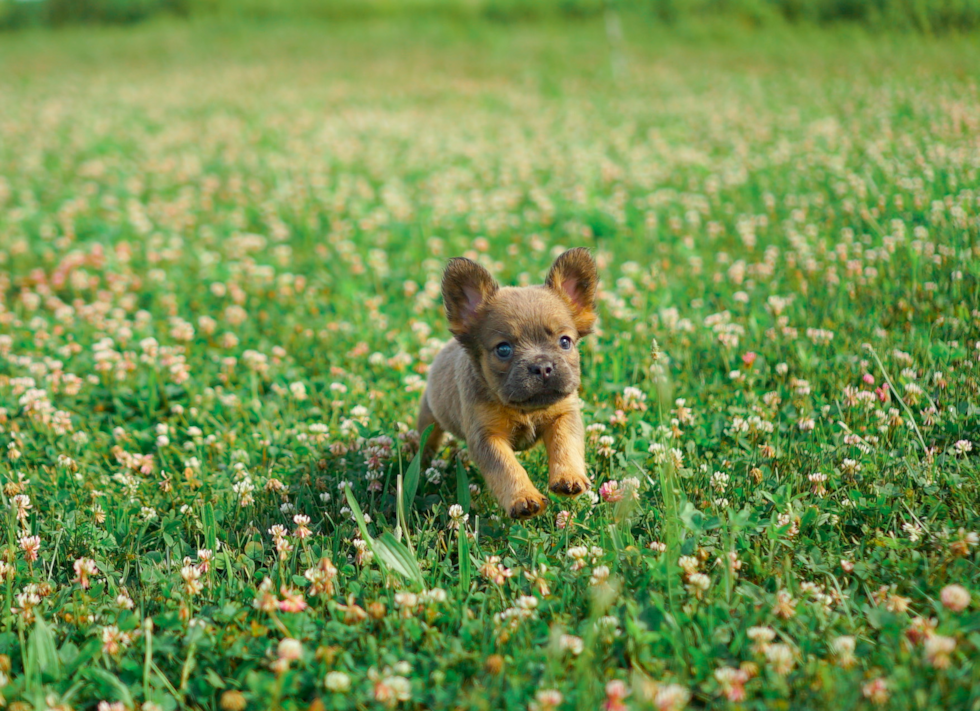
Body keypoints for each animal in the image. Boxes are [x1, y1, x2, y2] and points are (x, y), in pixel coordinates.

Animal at [416, 248, 596, 520]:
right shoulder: (487, 438)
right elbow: (507, 468)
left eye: (565, 342)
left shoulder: (564, 415)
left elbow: (565, 444)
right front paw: (524, 498)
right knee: (428, 439)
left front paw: (569, 476)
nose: (542, 367)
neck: (525, 409)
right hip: (429, 416)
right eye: (503, 349)